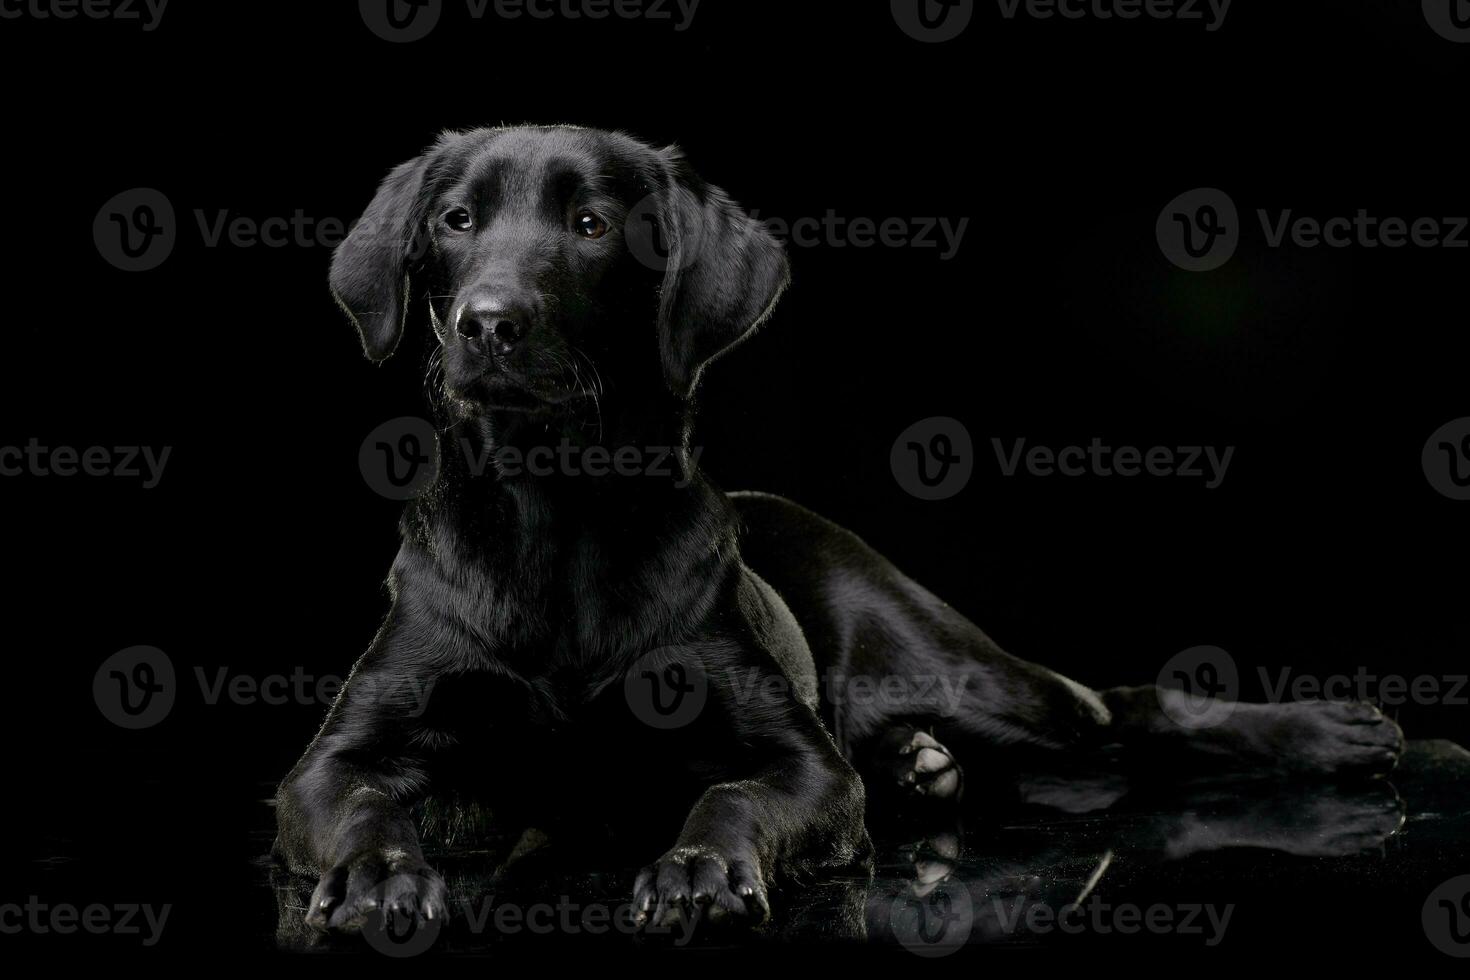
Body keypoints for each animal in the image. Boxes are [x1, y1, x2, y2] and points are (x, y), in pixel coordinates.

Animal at [273, 126, 1399, 940]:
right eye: (457, 219)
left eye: (591, 225)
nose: (489, 323)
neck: (555, 517)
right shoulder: (333, 759)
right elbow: (358, 803)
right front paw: (379, 875)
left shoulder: (799, 763)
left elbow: (734, 796)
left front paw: (698, 867)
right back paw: (918, 766)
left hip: (971, 671)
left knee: (1126, 705)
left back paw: (1329, 730)